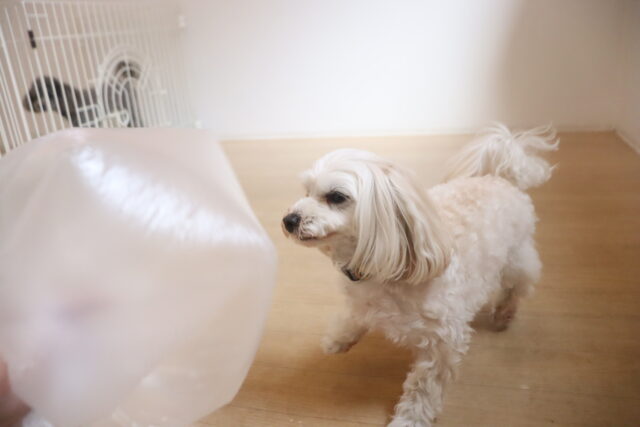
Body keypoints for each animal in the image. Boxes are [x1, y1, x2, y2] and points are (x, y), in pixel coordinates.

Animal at [282, 124, 558, 426]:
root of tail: (500, 176)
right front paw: (340, 337)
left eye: (336, 197)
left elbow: (423, 388)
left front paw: (410, 418)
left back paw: (504, 313)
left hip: (515, 258)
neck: (383, 270)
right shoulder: (362, 299)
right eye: (306, 191)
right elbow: (355, 314)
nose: (289, 220)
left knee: (516, 286)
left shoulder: (442, 342)